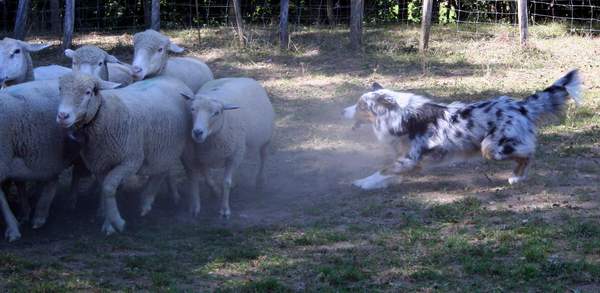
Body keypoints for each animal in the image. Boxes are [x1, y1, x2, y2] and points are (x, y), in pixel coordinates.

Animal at [55, 73, 192, 235]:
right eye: (60, 88)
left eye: (88, 92)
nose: (63, 115)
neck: (103, 114)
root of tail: (172, 78)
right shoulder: (100, 164)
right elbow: (106, 189)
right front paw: (108, 221)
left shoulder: (131, 161)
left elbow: (108, 187)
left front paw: (117, 222)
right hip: (161, 148)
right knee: (162, 171)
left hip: (171, 147)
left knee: (161, 173)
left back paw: (146, 202)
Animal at [180, 77, 274, 217]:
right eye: (192, 109)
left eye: (216, 113)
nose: (197, 132)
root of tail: (243, 77)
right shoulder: (200, 157)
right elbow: (205, 179)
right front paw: (206, 198)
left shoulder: (233, 156)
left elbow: (226, 182)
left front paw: (224, 210)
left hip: (265, 138)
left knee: (263, 156)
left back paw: (260, 180)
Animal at [344, 70, 584, 189]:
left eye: (361, 106)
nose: (343, 112)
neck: (401, 116)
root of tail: (520, 105)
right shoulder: (408, 159)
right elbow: (390, 172)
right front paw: (383, 183)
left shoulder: (410, 158)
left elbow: (383, 169)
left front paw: (363, 182)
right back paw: (517, 177)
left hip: (490, 147)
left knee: (528, 152)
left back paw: (517, 178)